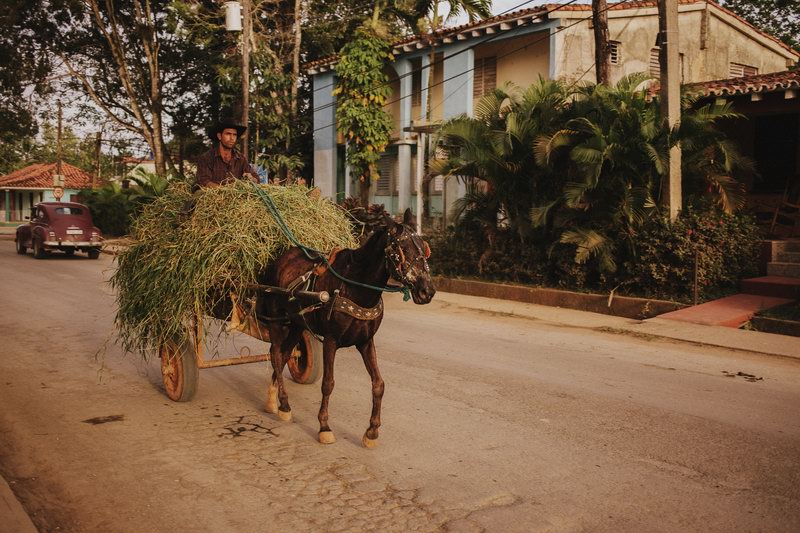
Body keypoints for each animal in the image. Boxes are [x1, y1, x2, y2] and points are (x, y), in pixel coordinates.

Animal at [258, 208, 434, 444]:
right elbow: (328, 383)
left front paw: (372, 431)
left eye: (424, 247)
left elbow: (379, 384)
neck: (354, 286)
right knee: (276, 355)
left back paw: (273, 399)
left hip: (297, 324)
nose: (427, 291)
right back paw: (284, 405)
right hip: (277, 321)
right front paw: (324, 426)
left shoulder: (366, 342)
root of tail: (279, 259)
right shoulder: (331, 341)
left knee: (284, 354)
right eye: (402, 249)